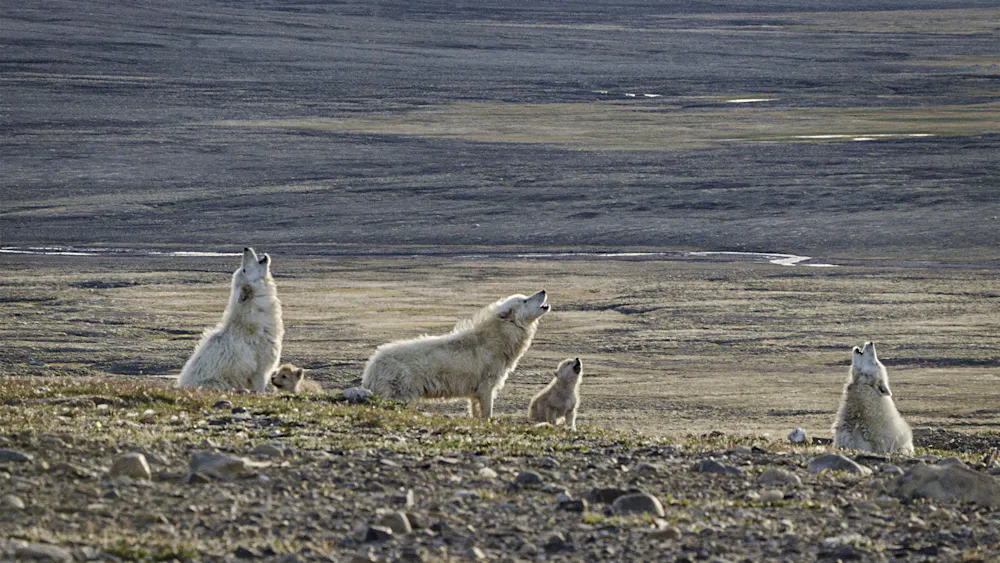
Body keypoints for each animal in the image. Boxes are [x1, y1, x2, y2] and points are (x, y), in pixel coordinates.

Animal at [361, 290, 550, 419]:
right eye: (525, 300)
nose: (543, 291)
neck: (496, 339)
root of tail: (371, 367)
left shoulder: (475, 394)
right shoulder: (486, 387)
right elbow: (487, 414)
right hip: (398, 396)